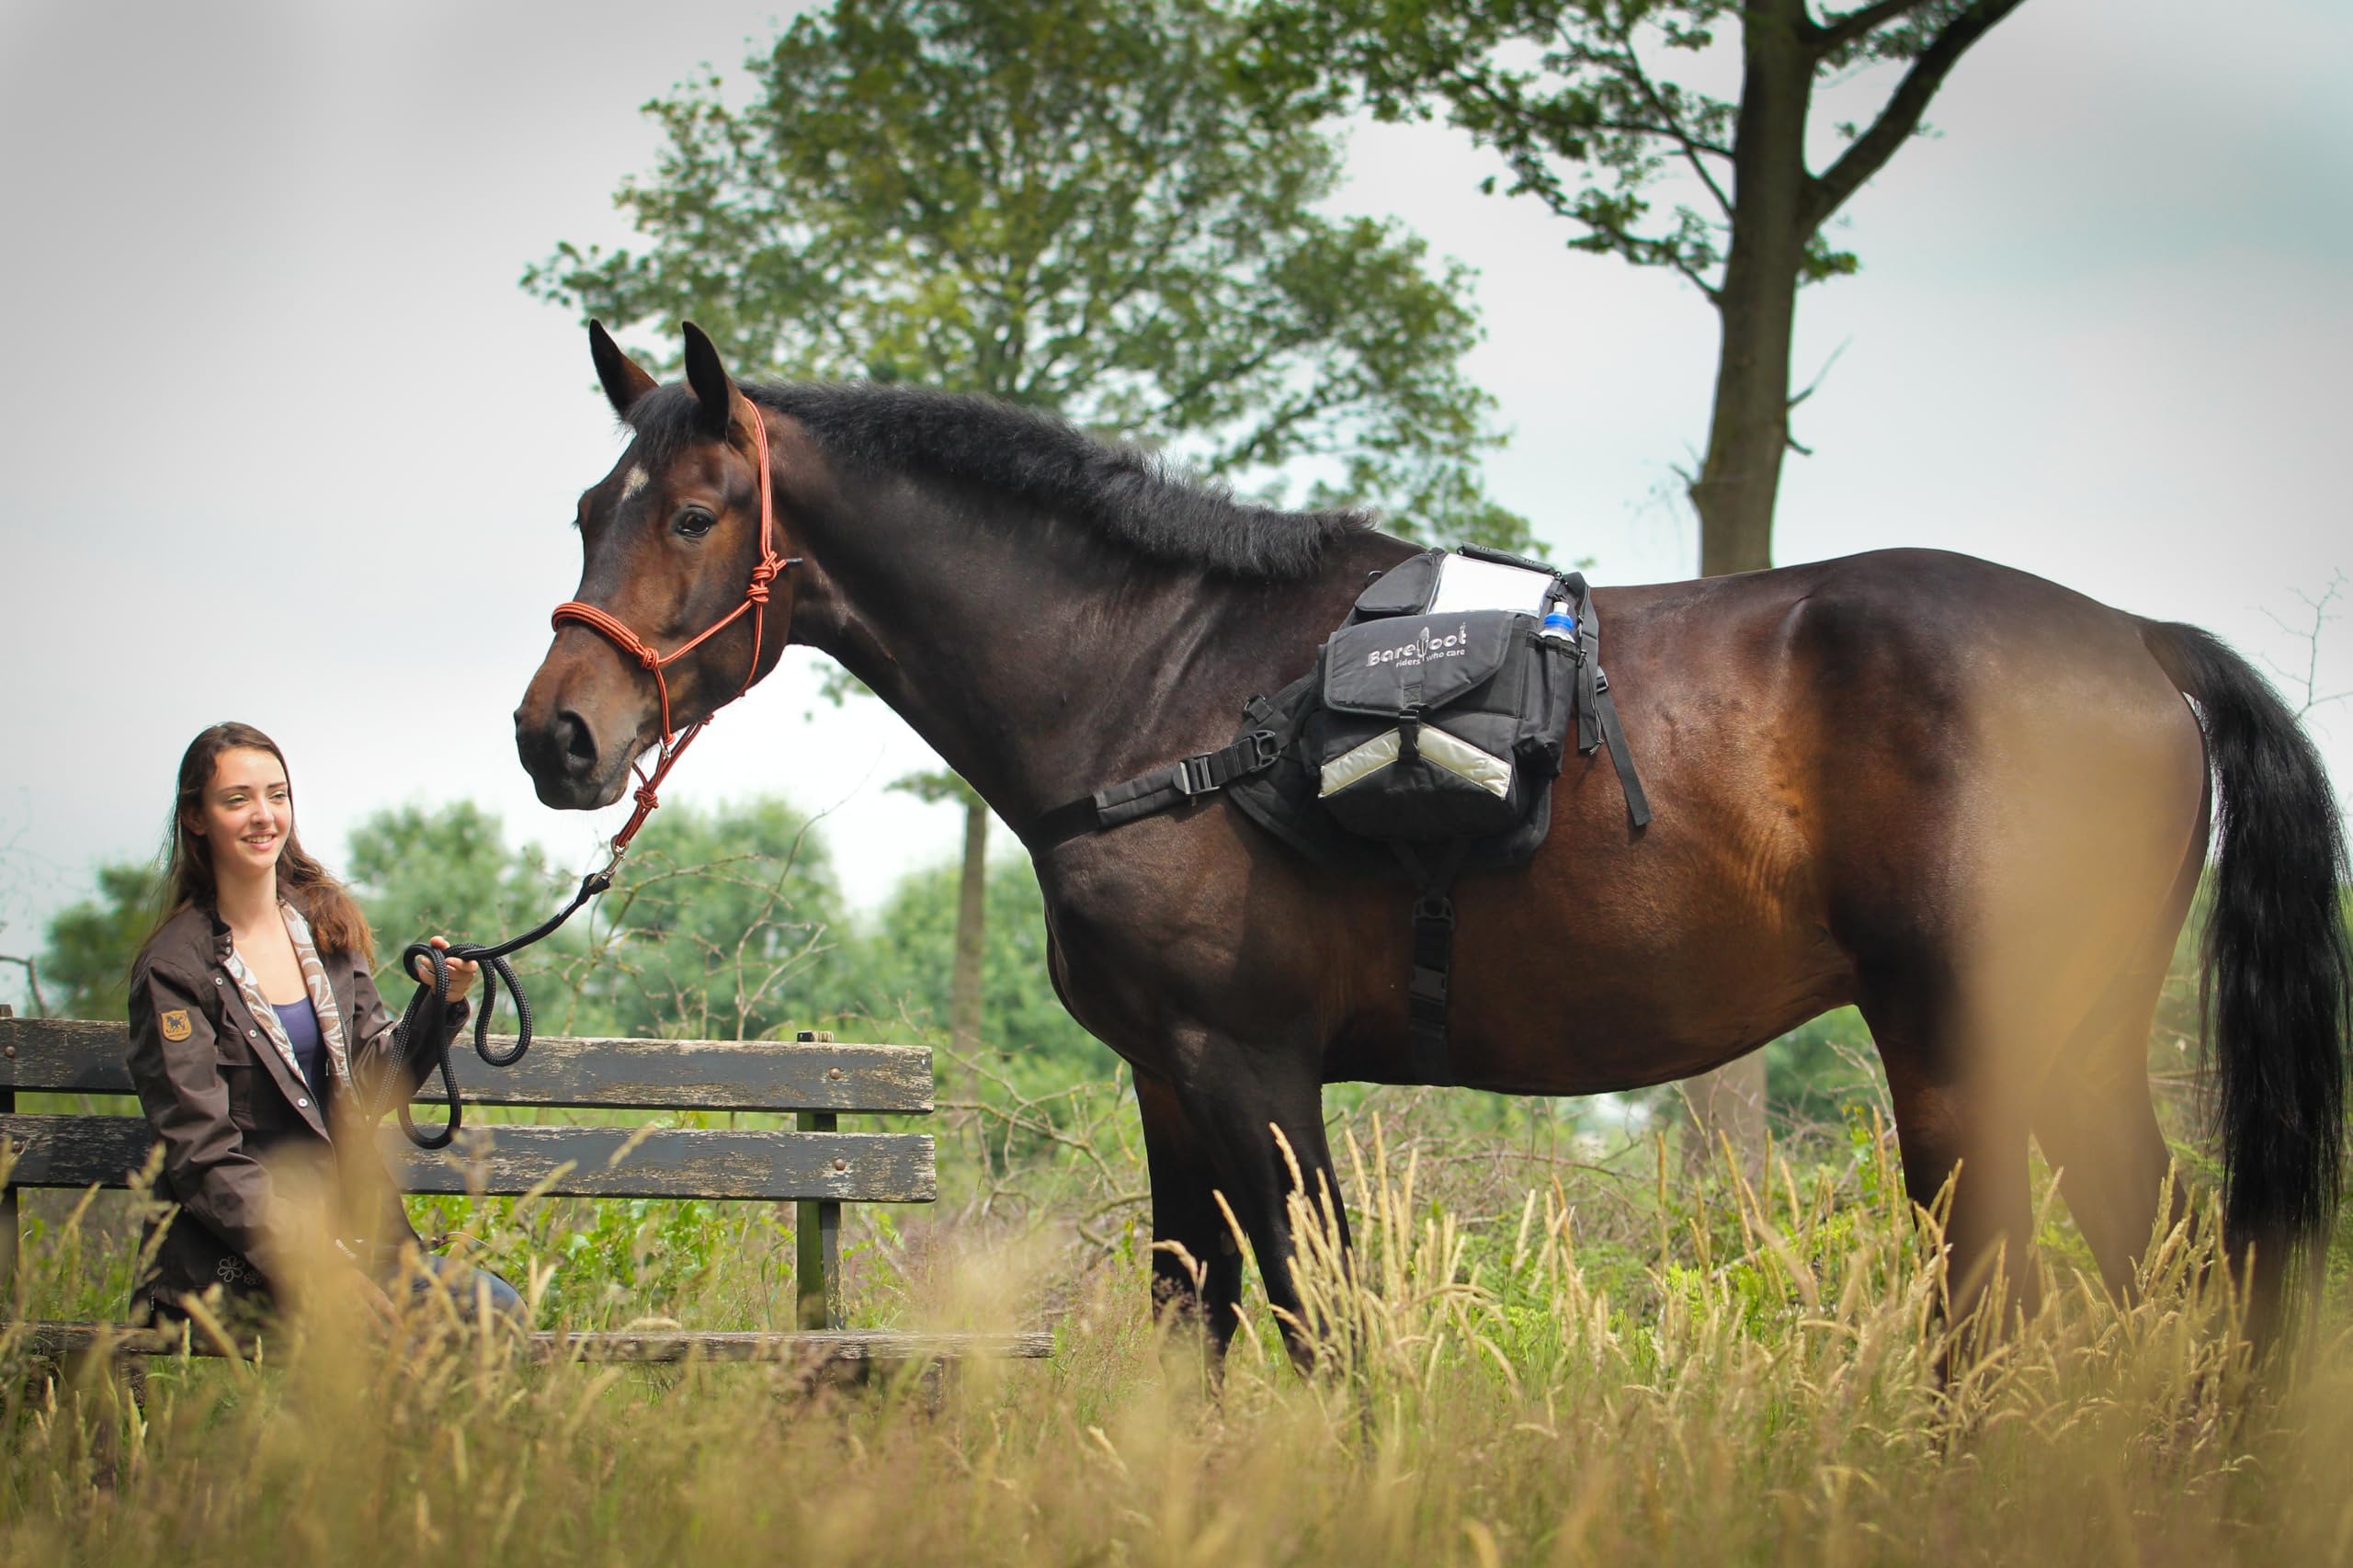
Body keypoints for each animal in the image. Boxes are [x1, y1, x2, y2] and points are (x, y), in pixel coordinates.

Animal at [515, 322, 2350, 1358]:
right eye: (589, 510)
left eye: (695, 513)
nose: (557, 736)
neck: (1168, 689)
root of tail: (2138, 641)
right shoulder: (1170, 1084)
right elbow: (1193, 1331)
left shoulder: (1253, 1068)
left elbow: (1323, 1329)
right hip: (2077, 1048)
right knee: (2172, 1271)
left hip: (1963, 1052)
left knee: (2003, 1305)